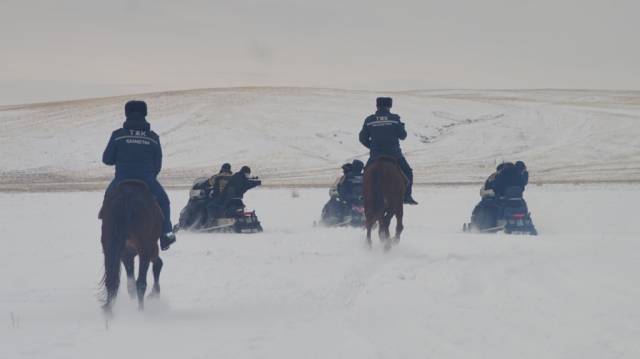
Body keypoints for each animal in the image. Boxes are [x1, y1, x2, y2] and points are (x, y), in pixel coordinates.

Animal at [99, 181, 164, 314]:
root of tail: (127, 198)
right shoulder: (147, 249)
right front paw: (155, 293)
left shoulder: (126, 255)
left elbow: (130, 285)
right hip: (146, 249)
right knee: (141, 282)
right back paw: (141, 311)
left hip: (112, 248)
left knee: (113, 281)